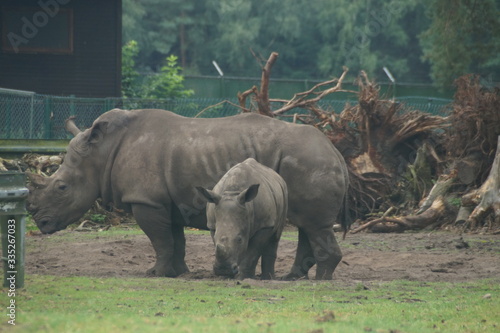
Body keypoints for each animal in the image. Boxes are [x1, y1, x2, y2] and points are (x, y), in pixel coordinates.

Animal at [27, 107, 348, 278]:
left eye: (61, 187)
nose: (40, 222)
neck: (101, 153)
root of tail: (336, 151)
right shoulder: (166, 201)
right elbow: (174, 239)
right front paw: (178, 272)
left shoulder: (146, 200)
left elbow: (160, 240)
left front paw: (155, 274)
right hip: (309, 160)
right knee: (307, 224)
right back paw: (292, 278)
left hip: (309, 160)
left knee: (313, 224)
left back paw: (319, 280)